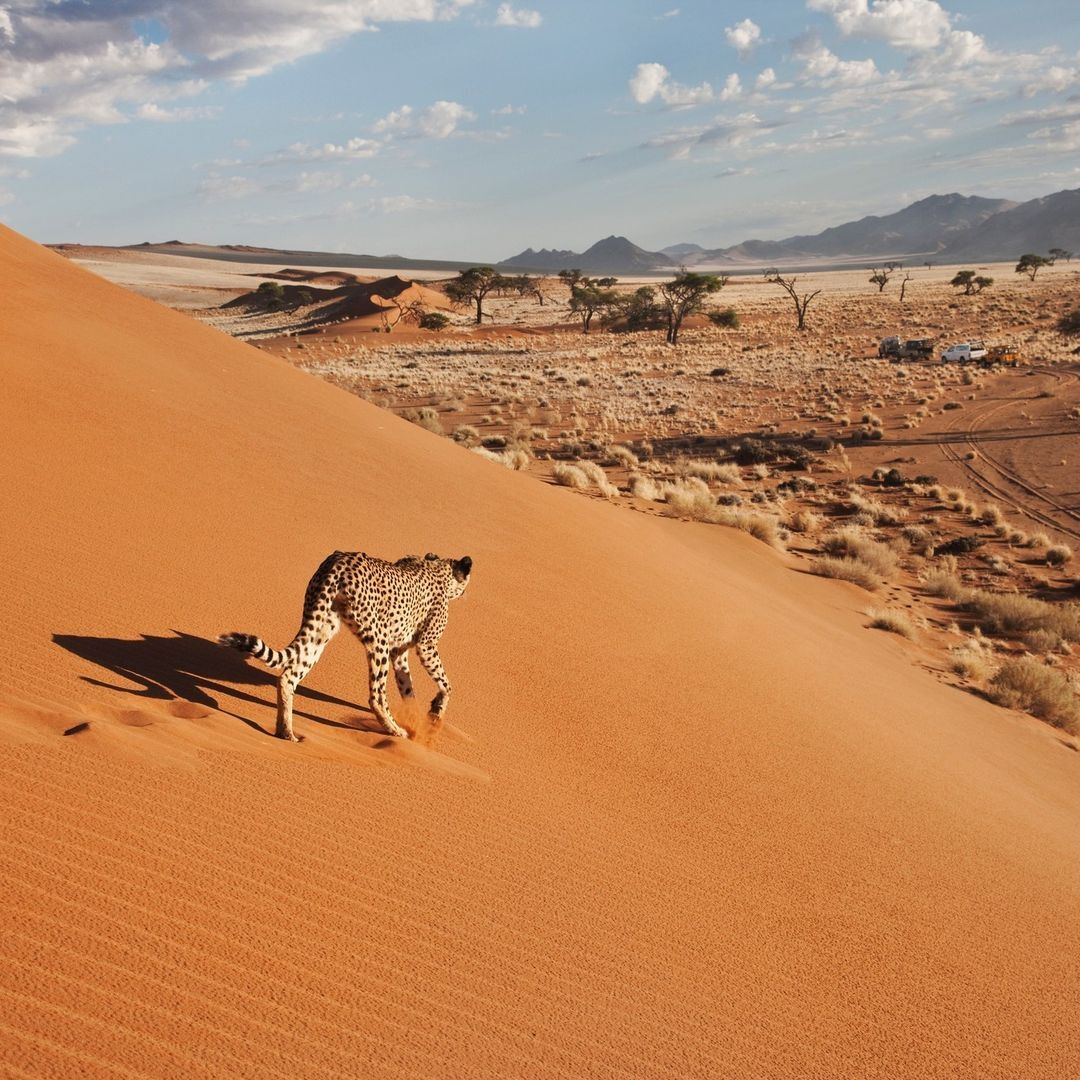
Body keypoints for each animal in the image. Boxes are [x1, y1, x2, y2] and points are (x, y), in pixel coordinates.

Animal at [219, 548, 473, 743]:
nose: (465, 594)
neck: (438, 567)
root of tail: (340, 561)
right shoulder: (425, 646)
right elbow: (446, 684)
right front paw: (435, 712)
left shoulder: (398, 652)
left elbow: (408, 688)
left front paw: (417, 717)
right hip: (377, 639)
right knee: (376, 695)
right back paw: (394, 730)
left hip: (321, 629)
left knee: (288, 676)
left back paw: (286, 732)